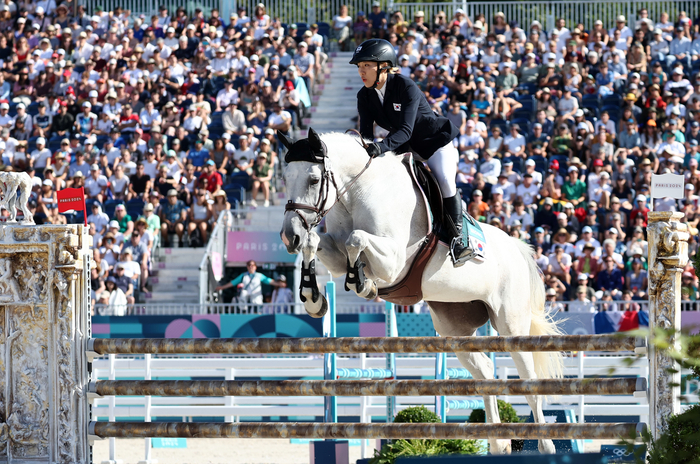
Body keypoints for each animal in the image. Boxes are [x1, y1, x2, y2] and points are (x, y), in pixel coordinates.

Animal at [278, 129, 564, 454]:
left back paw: (545, 446)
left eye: (314, 179)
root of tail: (517, 246)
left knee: (529, 381)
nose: (289, 236)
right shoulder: (335, 253)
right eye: (285, 177)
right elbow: (316, 242)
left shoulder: (394, 262)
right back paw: (497, 443)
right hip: (455, 330)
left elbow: (356, 239)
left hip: (510, 325)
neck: (358, 192)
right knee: (485, 372)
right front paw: (313, 299)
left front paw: (362, 283)